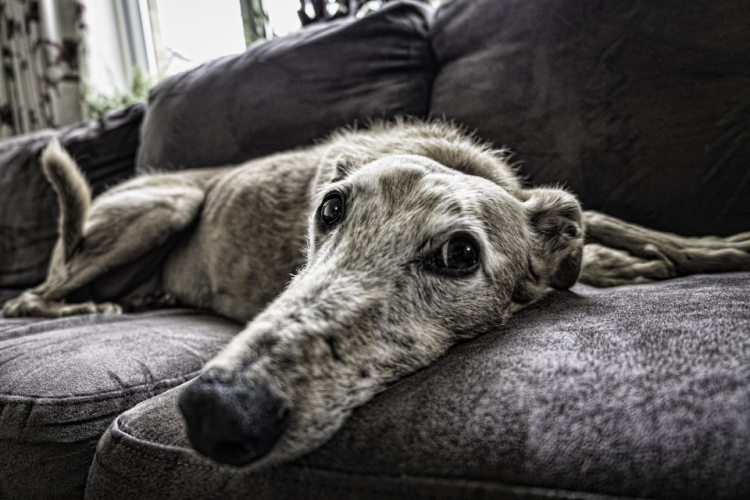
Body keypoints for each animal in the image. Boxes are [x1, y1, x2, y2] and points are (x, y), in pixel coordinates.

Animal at [2, 120, 748, 468]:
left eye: (459, 254)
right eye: (329, 208)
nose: (217, 412)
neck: (447, 156)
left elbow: (611, 220)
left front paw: (711, 249)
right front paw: (631, 263)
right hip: (165, 205)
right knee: (30, 298)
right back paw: (90, 304)